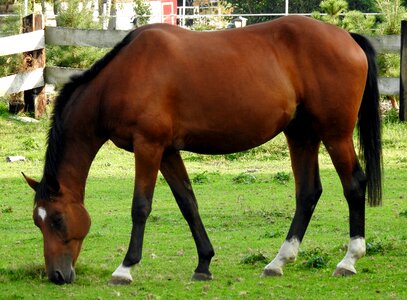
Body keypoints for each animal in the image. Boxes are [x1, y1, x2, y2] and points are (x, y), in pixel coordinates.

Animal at [24, 15, 382, 284]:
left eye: (57, 219)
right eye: (37, 223)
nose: (57, 275)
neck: (122, 77)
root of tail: (347, 37)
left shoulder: (148, 146)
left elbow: (141, 206)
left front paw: (125, 268)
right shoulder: (167, 151)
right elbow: (188, 203)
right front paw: (204, 263)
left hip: (335, 134)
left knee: (354, 185)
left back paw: (349, 260)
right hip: (301, 134)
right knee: (307, 193)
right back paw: (279, 261)